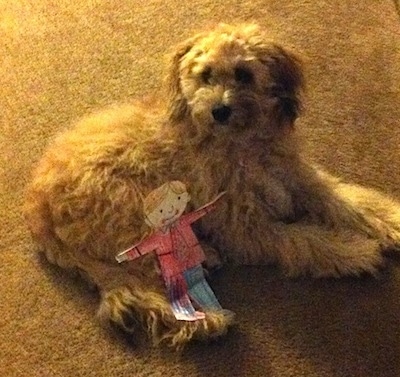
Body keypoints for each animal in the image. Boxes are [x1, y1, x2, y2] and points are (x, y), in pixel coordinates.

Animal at [24, 23, 400, 346]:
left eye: (244, 74)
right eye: (205, 76)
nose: (219, 110)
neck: (244, 144)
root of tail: (35, 202)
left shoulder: (298, 178)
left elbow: (349, 201)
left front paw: (391, 222)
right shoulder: (243, 228)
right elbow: (304, 240)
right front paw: (354, 251)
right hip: (134, 209)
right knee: (148, 279)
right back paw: (201, 318)